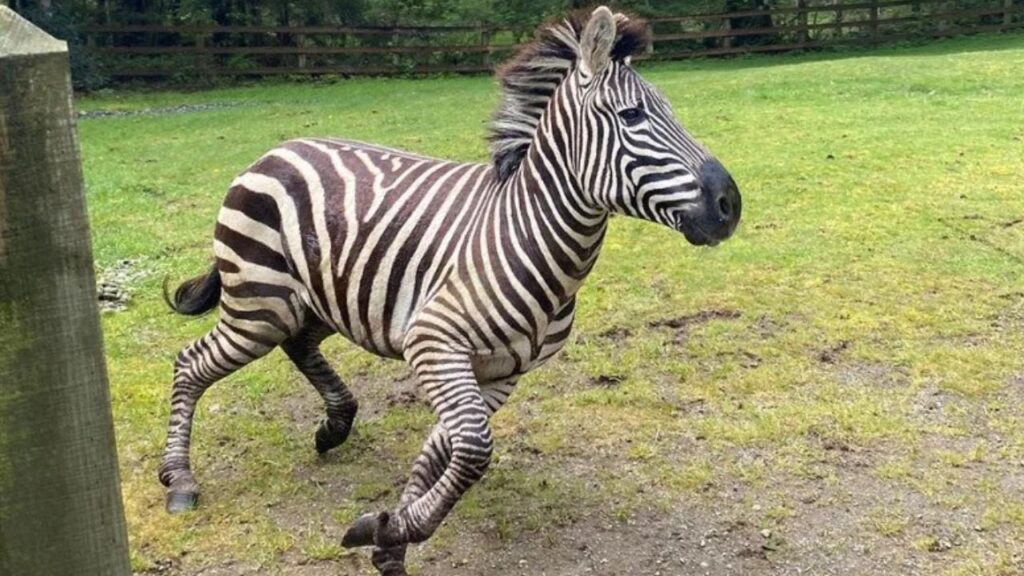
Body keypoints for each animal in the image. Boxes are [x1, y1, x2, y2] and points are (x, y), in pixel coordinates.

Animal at [159, 6, 741, 575]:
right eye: (632, 117)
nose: (730, 205)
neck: (529, 234)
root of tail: (274, 150)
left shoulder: (502, 371)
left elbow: (449, 446)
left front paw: (391, 534)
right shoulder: (434, 342)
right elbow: (475, 448)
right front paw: (393, 529)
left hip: (326, 299)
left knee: (297, 344)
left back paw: (334, 428)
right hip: (260, 302)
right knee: (192, 363)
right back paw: (180, 481)